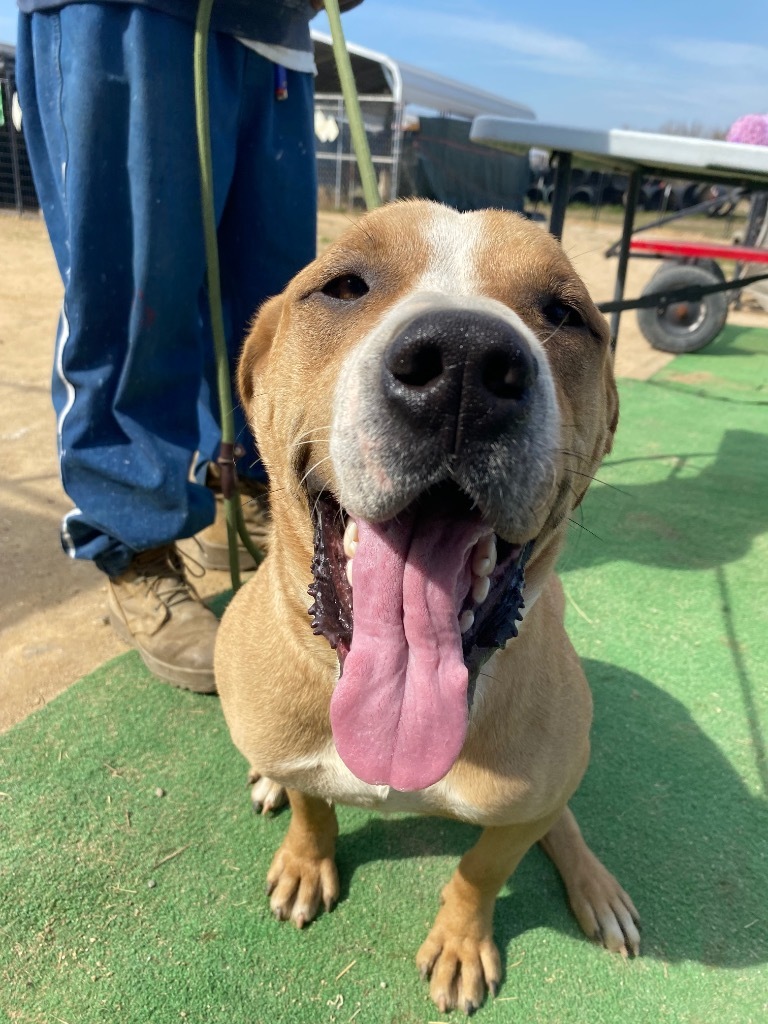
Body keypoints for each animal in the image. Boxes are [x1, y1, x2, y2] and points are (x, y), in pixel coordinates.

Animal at [214, 199, 638, 1015]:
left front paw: (461, 942)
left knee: (559, 813)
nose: (466, 363)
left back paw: (596, 886)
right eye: (344, 286)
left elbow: (482, 870)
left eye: (564, 313)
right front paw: (307, 858)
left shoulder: (514, 813)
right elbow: (313, 805)